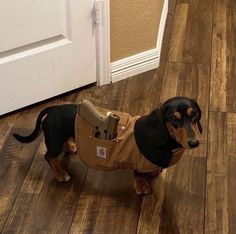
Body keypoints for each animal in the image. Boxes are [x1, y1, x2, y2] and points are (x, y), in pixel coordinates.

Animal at [12, 96, 202, 194]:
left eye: (194, 115)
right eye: (173, 119)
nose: (194, 143)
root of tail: (50, 110)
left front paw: (154, 172)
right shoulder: (137, 162)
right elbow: (139, 175)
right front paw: (142, 187)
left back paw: (71, 147)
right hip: (54, 140)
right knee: (49, 156)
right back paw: (60, 174)